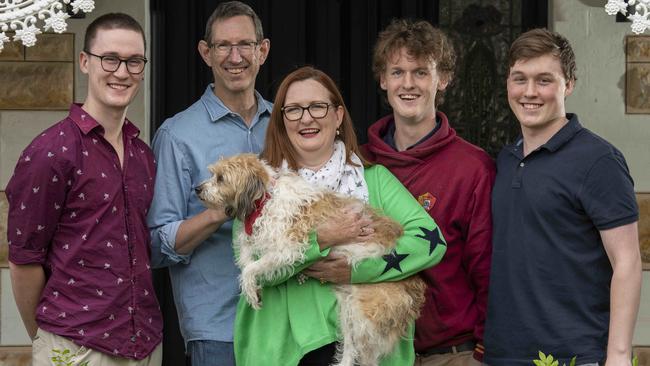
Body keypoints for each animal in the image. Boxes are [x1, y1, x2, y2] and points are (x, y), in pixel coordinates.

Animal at [194, 153, 426, 364]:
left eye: (221, 178)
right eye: (213, 174)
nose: (197, 189)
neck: (265, 197)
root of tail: (414, 286)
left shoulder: (287, 249)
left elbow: (250, 269)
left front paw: (250, 291)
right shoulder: (255, 238)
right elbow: (245, 257)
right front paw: (253, 288)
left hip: (364, 315)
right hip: (348, 308)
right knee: (351, 350)